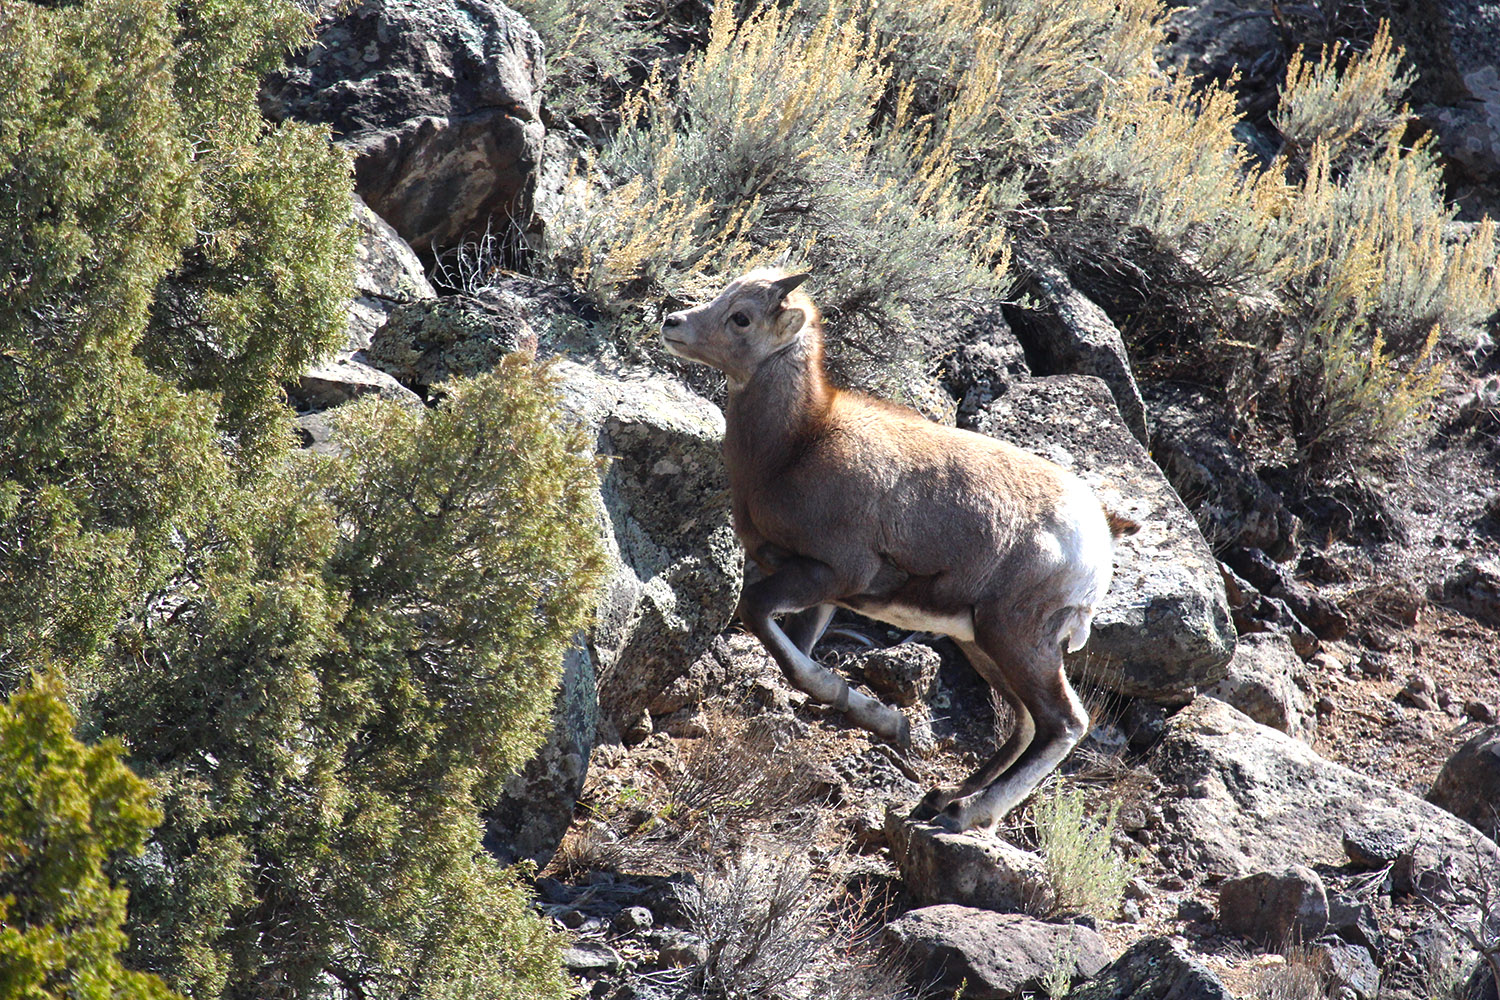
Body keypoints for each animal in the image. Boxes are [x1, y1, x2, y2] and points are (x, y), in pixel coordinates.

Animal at [661, 267, 1137, 832]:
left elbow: (765, 626)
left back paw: (965, 813)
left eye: (741, 317)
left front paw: (889, 724)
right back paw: (942, 798)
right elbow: (795, 653)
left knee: (1063, 723)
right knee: (1026, 724)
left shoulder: (829, 574)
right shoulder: (822, 595)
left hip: (1018, 638)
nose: (672, 321)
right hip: (983, 643)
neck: (797, 445)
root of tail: (1099, 534)